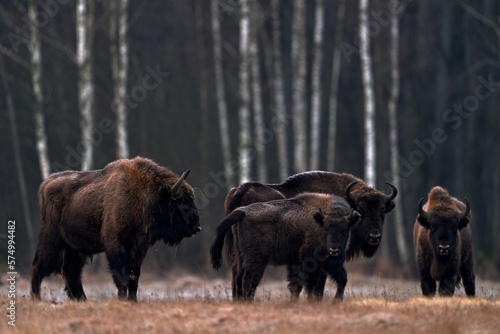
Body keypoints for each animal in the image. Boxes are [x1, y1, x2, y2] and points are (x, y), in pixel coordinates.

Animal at [31, 158, 201, 302]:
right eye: (182, 202)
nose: (197, 227)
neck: (141, 196)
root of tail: (45, 184)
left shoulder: (139, 247)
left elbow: (134, 277)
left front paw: (132, 301)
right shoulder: (115, 245)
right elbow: (122, 276)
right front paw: (122, 299)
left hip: (75, 248)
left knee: (70, 272)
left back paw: (82, 300)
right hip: (51, 242)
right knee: (39, 266)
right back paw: (36, 298)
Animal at [210, 193, 360, 302]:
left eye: (344, 230)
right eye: (326, 229)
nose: (334, 250)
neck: (319, 222)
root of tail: (243, 212)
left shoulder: (329, 264)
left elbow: (341, 279)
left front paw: (336, 301)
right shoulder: (311, 263)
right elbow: (310, 285)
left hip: (241, 257)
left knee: (238, 278)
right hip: (256, 260)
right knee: (248, 279)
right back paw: (248, 302)